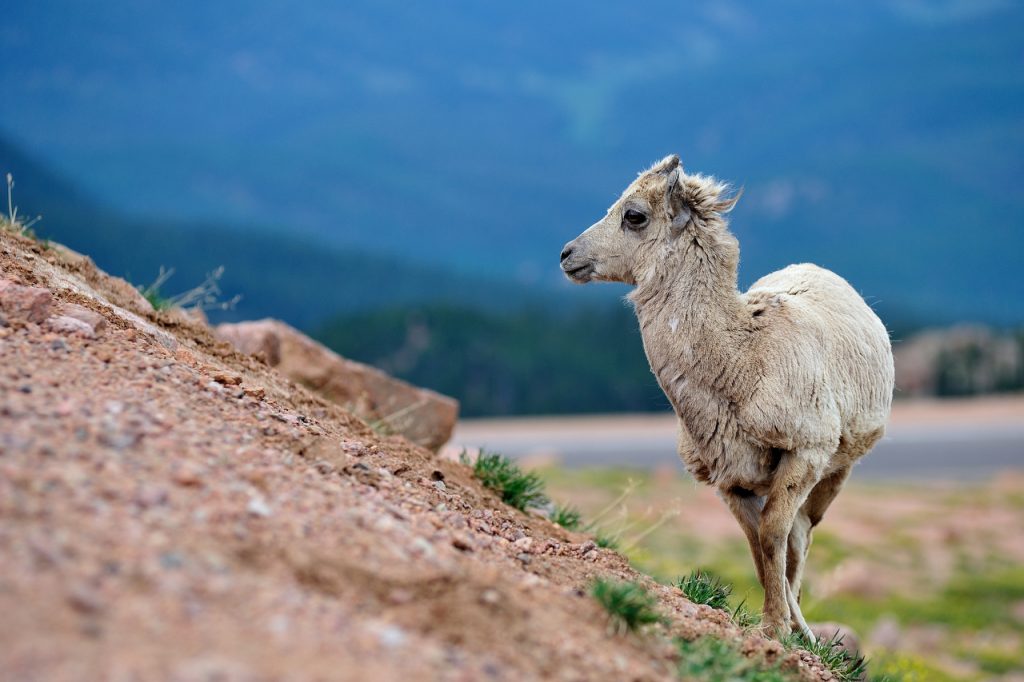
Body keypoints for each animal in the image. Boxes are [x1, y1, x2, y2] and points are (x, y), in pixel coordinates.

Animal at [559, 154, 894, 640]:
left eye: (634, 215)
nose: (567, 255)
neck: (743, 361)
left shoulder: (805, 455)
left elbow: (775, 537)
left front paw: (778, 630)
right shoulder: (731, 480)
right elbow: (757, 546)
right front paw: (774, 625)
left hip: (836, 473)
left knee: (802, 535)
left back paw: (805, 631)